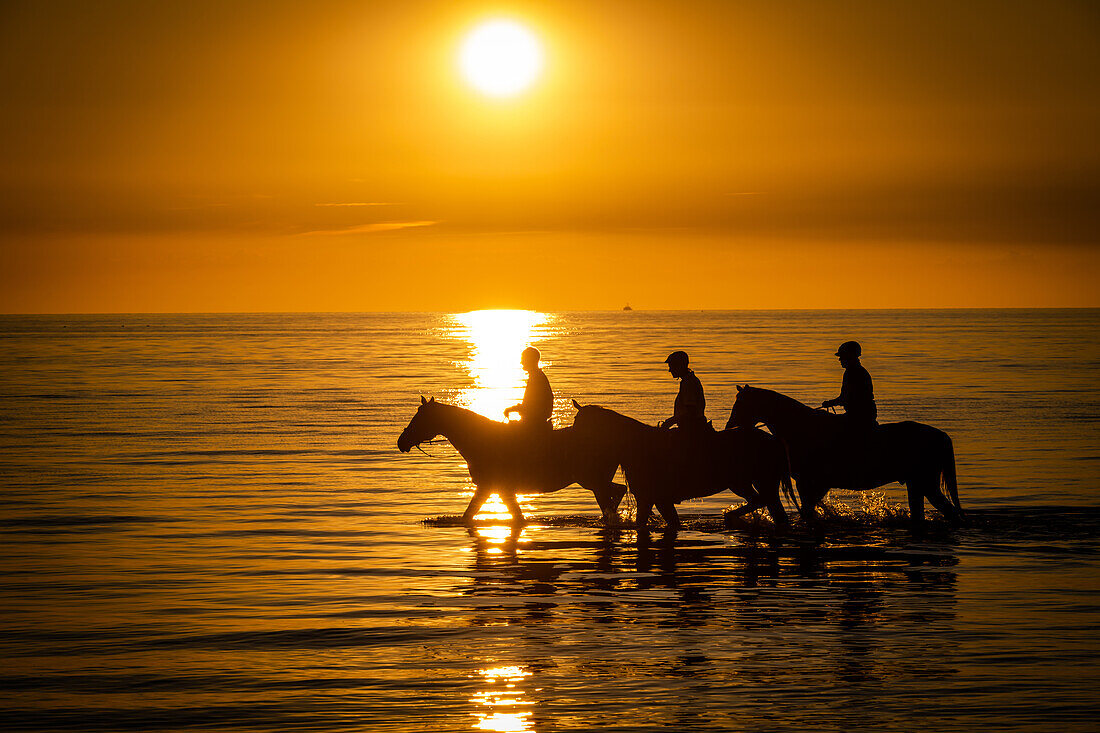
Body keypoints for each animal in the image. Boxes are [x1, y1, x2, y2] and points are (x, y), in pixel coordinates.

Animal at [398, 396, 629, 521]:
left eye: (421, 417)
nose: (401, 442)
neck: (481, 440)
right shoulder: (490, 489)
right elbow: (471, 514)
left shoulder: (498, 488)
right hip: (596, 481)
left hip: (592, 481)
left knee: (615, 494)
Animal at [567, 396, 792, 528]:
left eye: (580, 424)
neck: (638, 446)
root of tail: (774, 440)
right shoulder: (659, 500)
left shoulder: (651, 498)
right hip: (747, 483)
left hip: (754, 482)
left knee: (765, 503)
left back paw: (731, 516)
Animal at [726, 383, 968, 526]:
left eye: (741, 403)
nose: (729, 427)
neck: (802, 428)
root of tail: (941, 435)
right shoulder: (812, 484)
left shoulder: (811, 482)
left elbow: (808, 512)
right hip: (916, 484)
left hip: (925, 483)